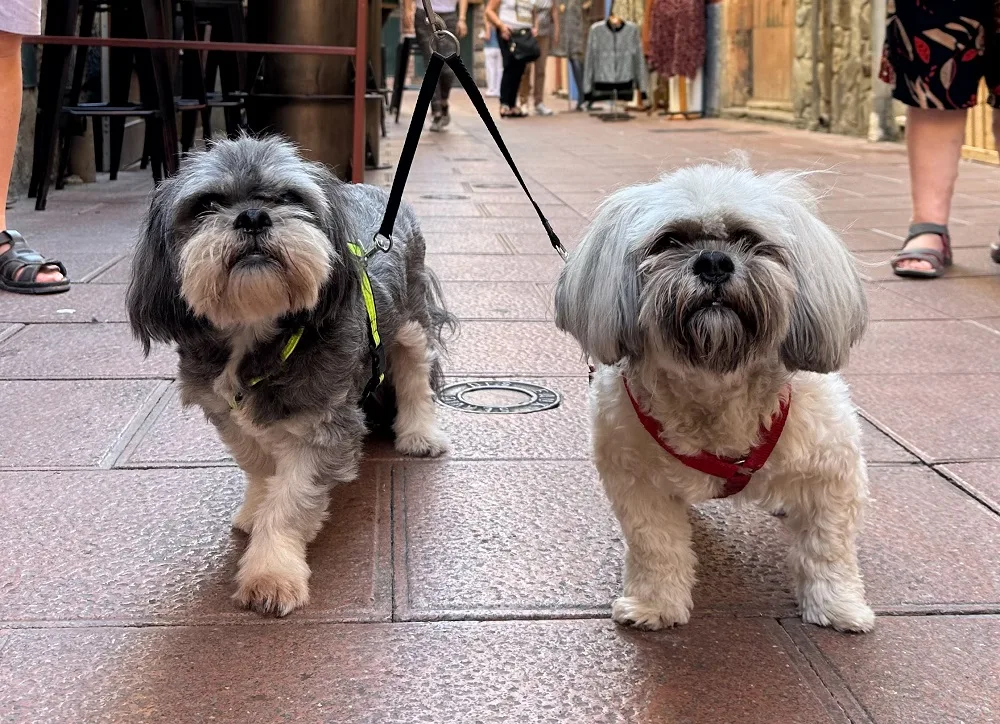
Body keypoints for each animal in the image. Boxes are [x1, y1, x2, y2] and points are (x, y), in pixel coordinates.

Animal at [127, 136, 456, 616]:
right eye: (207, 204)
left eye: (287, 197)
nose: (252, 216)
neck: (255, 331)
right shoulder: (226, 413)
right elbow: (261, 470)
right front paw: (256, 510)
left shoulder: (324, 426)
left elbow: (290, 501)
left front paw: (271, 572)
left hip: (409, 321)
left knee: (415, 376)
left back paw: (418, 434)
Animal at [556, 161, 876, 632]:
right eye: (669, 241)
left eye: (749, 238)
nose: (712, 261)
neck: (715, 385)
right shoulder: (637, 482)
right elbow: (656, 546)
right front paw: (655, 603)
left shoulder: (832, 474)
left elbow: (826, 549)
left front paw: (837, 606)